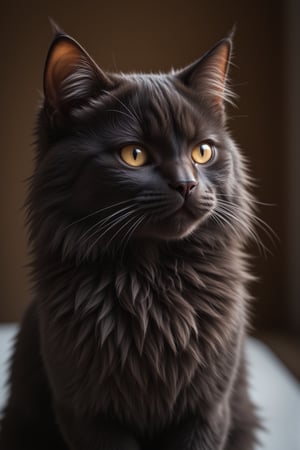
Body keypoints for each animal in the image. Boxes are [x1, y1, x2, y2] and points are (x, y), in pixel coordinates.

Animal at [0, 25, 260, 450]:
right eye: (134, 155)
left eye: (203, 152)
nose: (186, 184)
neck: (151, 284)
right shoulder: (87, 414)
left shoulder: (208, 410)